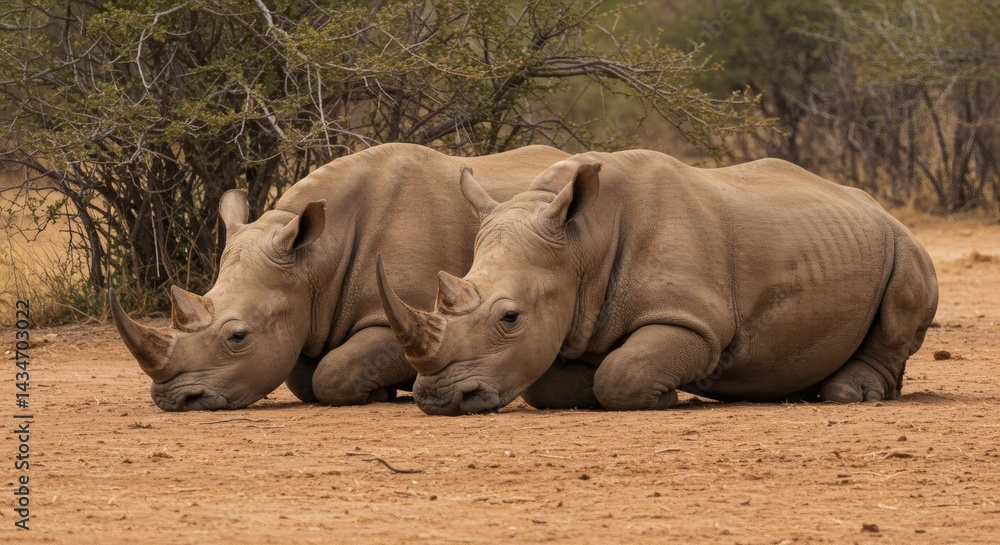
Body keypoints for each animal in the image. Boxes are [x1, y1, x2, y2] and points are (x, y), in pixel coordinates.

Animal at [111, 143, 569, 411]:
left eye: (237, 337)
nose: (174, 400)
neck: (313, 262)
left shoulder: (418, 317)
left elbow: (331, 372)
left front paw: (383, 391)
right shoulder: (306, 313)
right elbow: (302, 375)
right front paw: (386, 389)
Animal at [377, 150, 940, 415]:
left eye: (510, 317)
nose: (437, 399)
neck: (581, 242)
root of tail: (873, 204)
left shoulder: (696, 323)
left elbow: (621, 373)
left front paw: (663, 396)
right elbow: (551, 382)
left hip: (902, 239)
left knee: (905, 294)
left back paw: (849, 393)